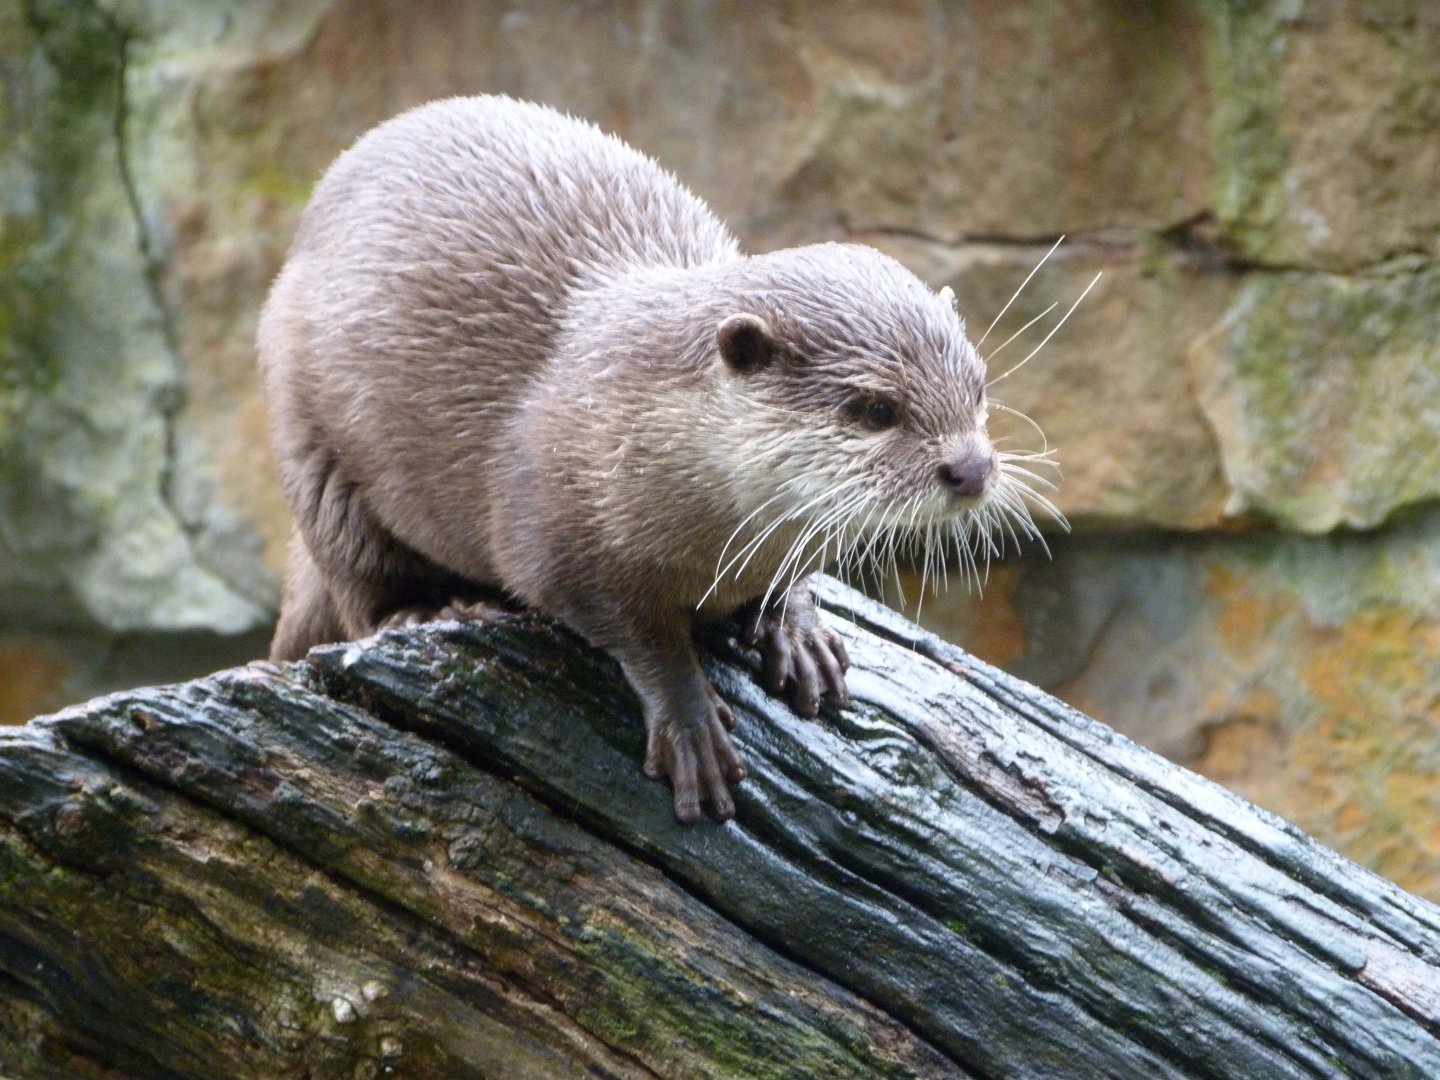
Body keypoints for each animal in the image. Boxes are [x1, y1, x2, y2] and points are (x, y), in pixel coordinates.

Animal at [259, 95, 1012, 823]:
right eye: (876, 409)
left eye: (978, 387)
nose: (970, 469)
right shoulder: (555, 535)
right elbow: (630, 629)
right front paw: (688, 720)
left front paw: (797, 630)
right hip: (309, 443)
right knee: (359, 583)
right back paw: (433, 611)